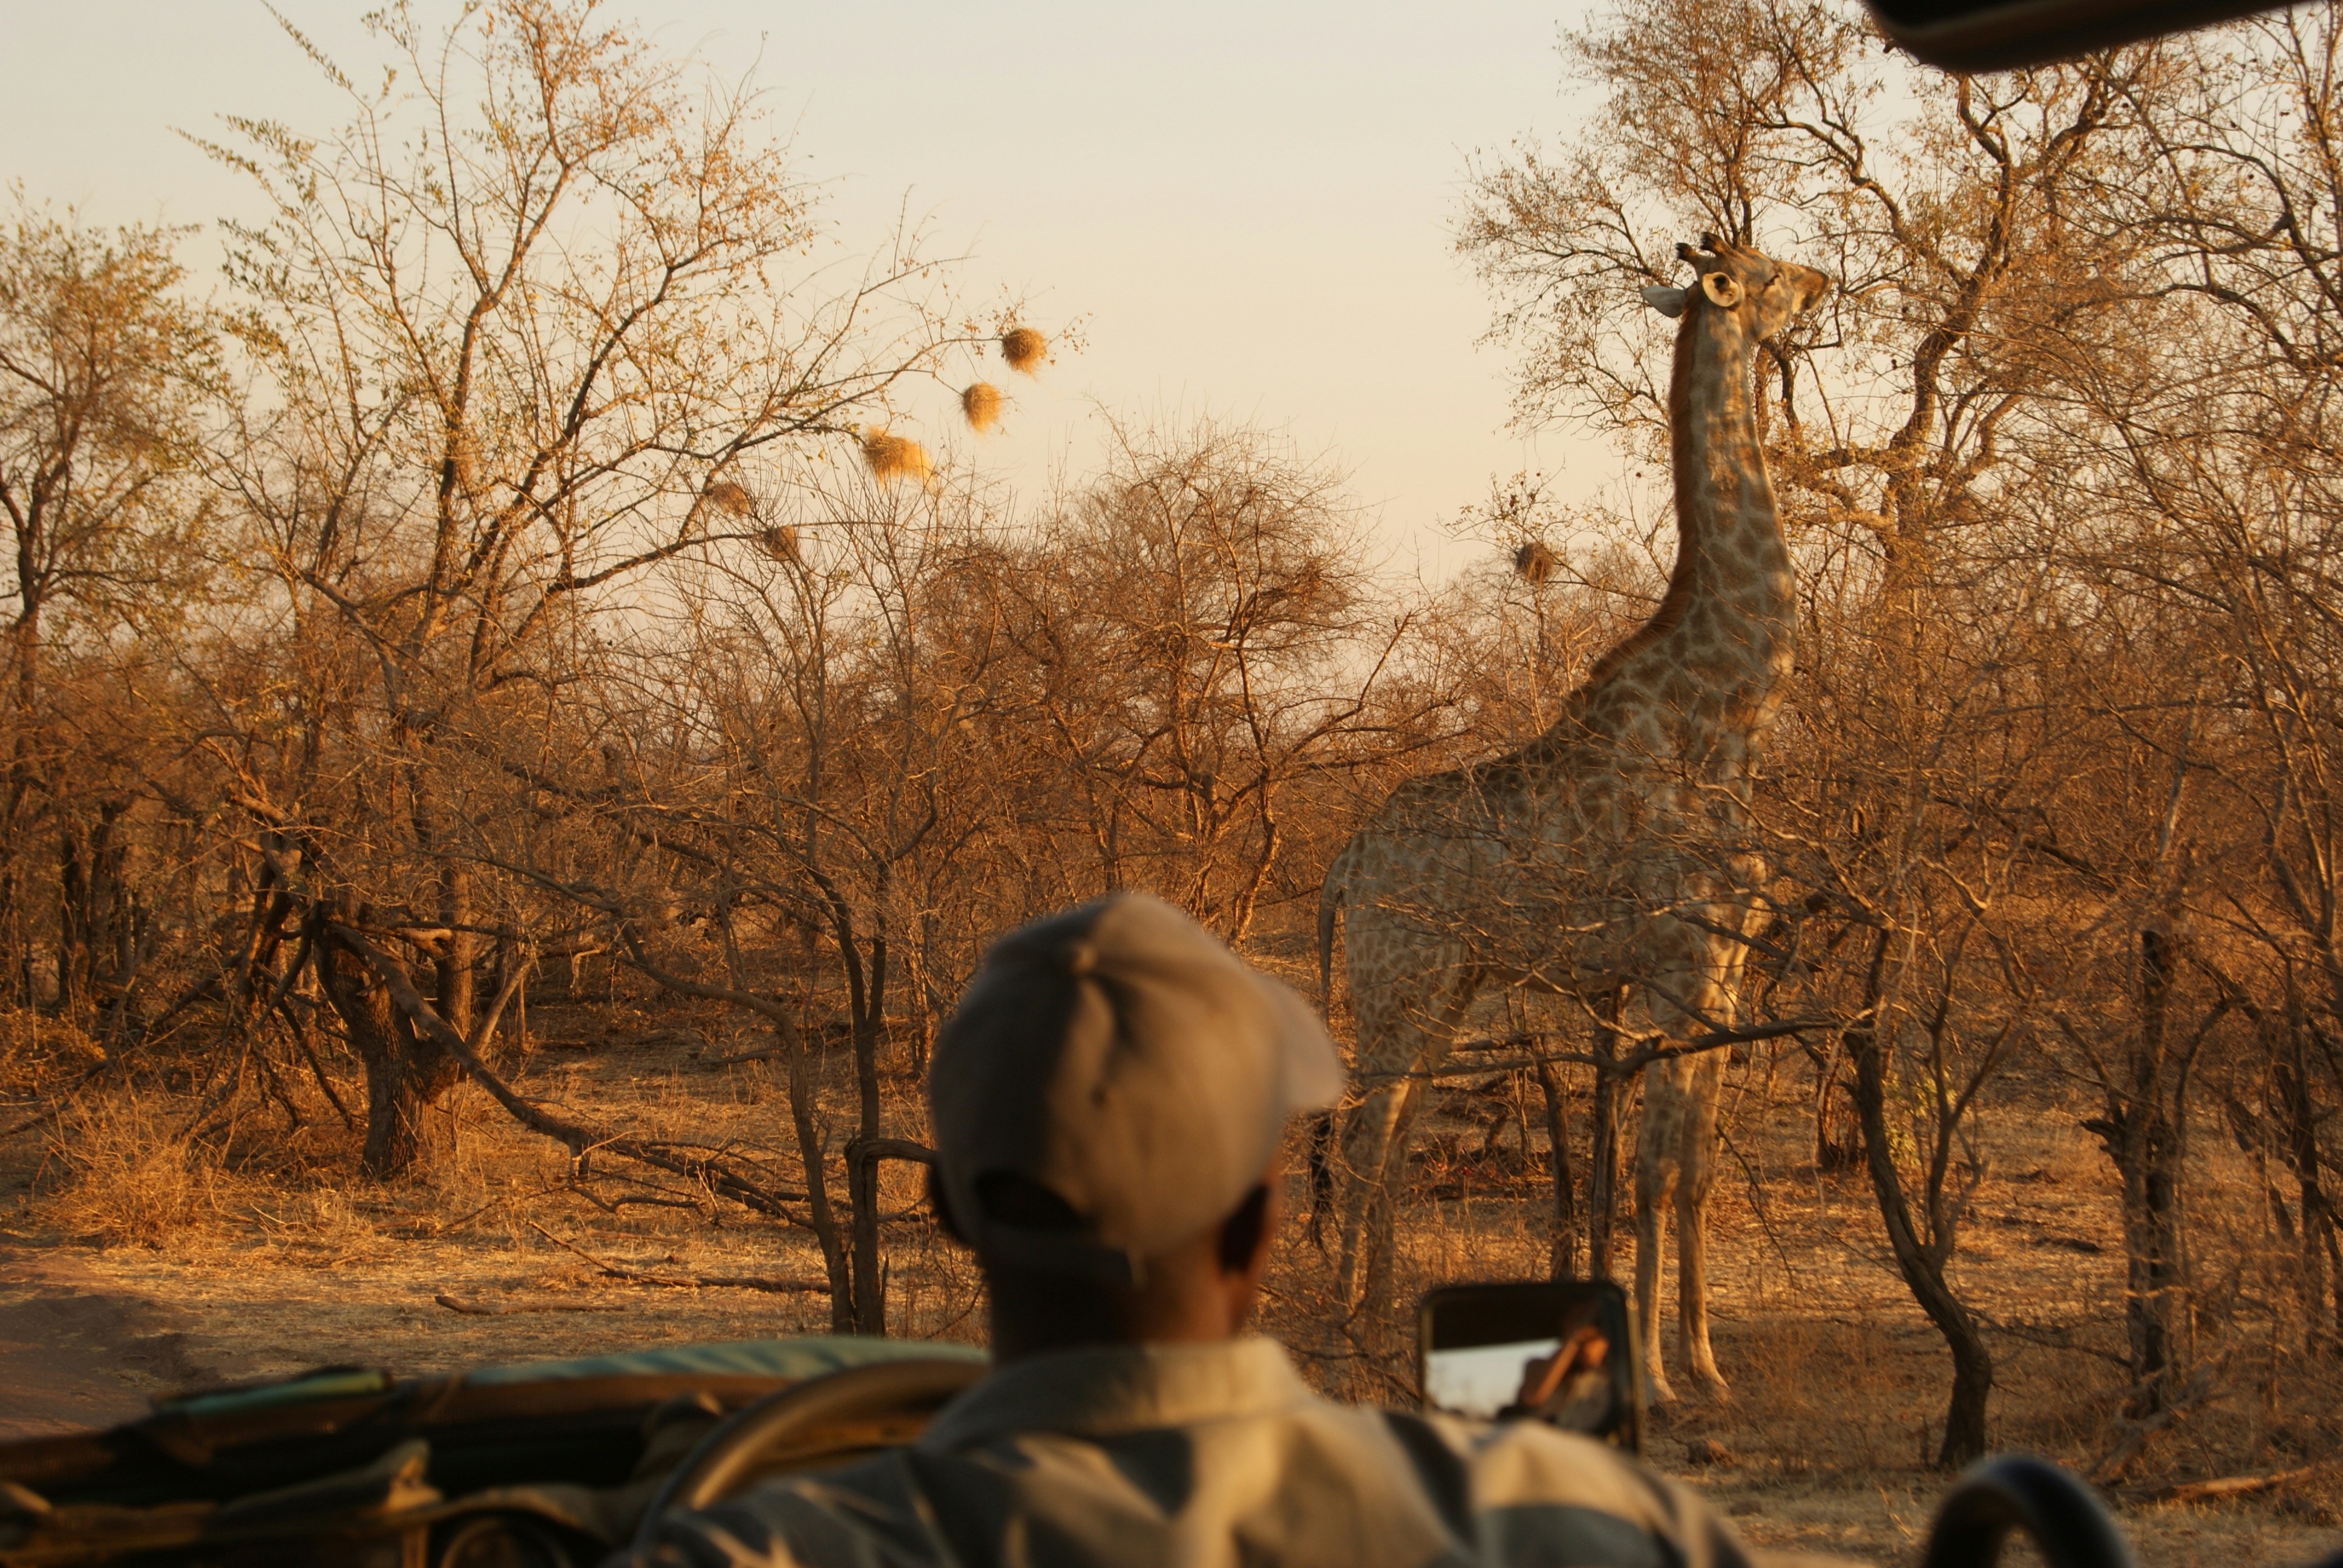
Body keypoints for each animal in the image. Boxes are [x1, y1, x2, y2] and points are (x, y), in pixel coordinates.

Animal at [1317, 235, 1829, 1402]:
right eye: (1767, 270)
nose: (1825, 281)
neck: (1728, 714)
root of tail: (1344, 859)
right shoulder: (1675, 965)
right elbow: (1649, 1172)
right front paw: (1655, 1373)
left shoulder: (1723, 970)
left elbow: (1691, 1170)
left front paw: (1704, 1361)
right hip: (1399, 979)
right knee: (1365, 1139)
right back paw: (1348, 1331)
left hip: (1451, 988)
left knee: (1394, 1136)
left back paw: (1383, 1320)